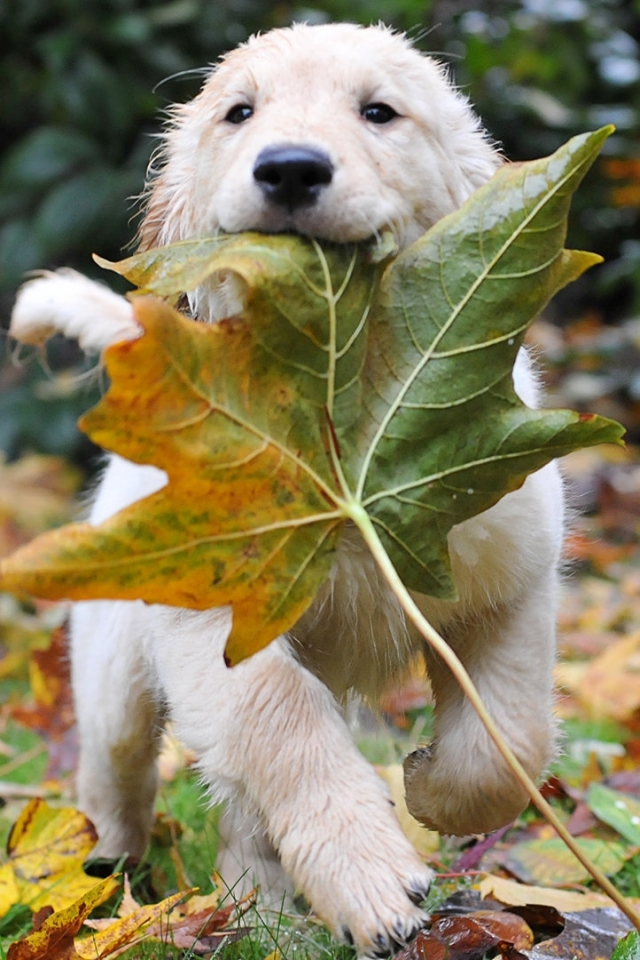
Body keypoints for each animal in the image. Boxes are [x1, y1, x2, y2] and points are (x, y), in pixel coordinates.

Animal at [10, 20, 564, 952]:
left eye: (379, 112)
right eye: (240, 112)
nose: (292, 169)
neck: (337, 409)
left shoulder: (512, 577)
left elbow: (507, 740)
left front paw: (430, 790)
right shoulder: (215, 622)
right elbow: (282, 723)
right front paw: (370, 878)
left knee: (241, 813)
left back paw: (259, 911)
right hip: (114, 670)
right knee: (119, 778)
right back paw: (109, 883)